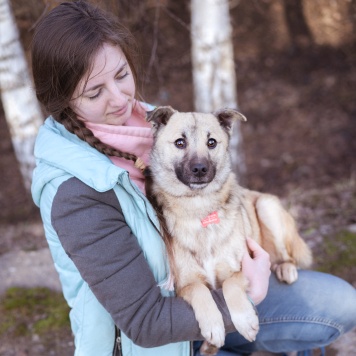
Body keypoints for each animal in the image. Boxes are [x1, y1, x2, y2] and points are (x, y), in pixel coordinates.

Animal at [143, 106, 312, 356]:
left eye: (211, 142)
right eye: (180, 142)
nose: (200, 169)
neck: (200, 210)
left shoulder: (242, 269)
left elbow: (231, 284)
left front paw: (245, 320)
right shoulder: (185, 284)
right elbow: (201, 292)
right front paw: (213, 329)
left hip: (266, 206)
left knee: (284, 255)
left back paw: (285, 268)